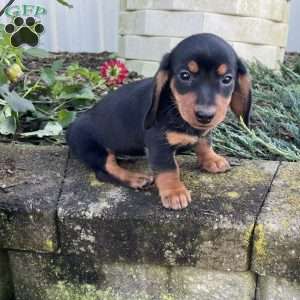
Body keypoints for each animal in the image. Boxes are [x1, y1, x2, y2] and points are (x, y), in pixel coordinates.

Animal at [67, 32, 252, 210]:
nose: (205, 115)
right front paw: (174, 192)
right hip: (93, 149)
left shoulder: (202, 133)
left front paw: (212, 159)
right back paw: (135, 178)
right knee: (106, 170)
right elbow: (168, 168)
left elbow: (204, 142)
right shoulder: (158, 143)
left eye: (227, 79)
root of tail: (70, 127)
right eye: (185, 75)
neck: (175, 107)